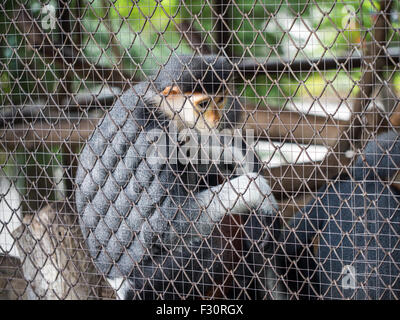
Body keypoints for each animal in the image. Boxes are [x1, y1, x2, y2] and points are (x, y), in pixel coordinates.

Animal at [75, 55, 282, 300]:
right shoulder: (153, 136)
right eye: (203, 105)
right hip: (155, 282)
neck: (161, 108)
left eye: (219, 100)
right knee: (222, 235)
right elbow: (160, 226)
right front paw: (258, 192)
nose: (215, 120)